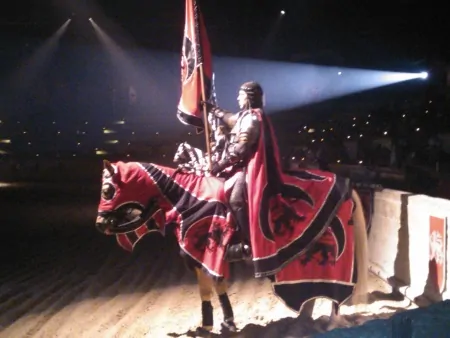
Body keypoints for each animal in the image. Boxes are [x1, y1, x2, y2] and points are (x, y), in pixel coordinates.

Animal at [96, 158, 370, 332]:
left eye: (107, 190)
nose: (100, 223)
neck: (187, 198)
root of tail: (346, 186)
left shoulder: (204, 253)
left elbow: (206, 289)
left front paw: (207, 325)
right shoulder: (211, 258)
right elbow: (217, 287)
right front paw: (227, 321)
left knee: (335, 291)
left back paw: (330, 323)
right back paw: (300, 322)